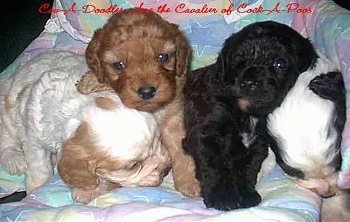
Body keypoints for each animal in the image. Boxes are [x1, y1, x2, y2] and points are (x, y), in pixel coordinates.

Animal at [0, 50, 171, 203]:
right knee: (7, 139)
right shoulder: (33, 135)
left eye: (160, 140)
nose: (167, 168)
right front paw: (35, 188)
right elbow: (40, 168)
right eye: (133, 166)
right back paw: (14, 160)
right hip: (8, 111)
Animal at [78, 8, 201, 197]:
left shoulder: (173, 116)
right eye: (119, 65)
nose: (147, 91)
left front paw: (190, 182)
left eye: (163, 57)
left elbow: (181, 149)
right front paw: (89, 81)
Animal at [183, 21, 318, 212]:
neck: (246, 112)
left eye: (280, 63)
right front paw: (222, 196)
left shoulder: (258, 144)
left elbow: (248, 169)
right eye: (237, 59)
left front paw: (246, 194)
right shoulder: (207, 135)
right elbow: (214, 167)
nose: (249, 82)